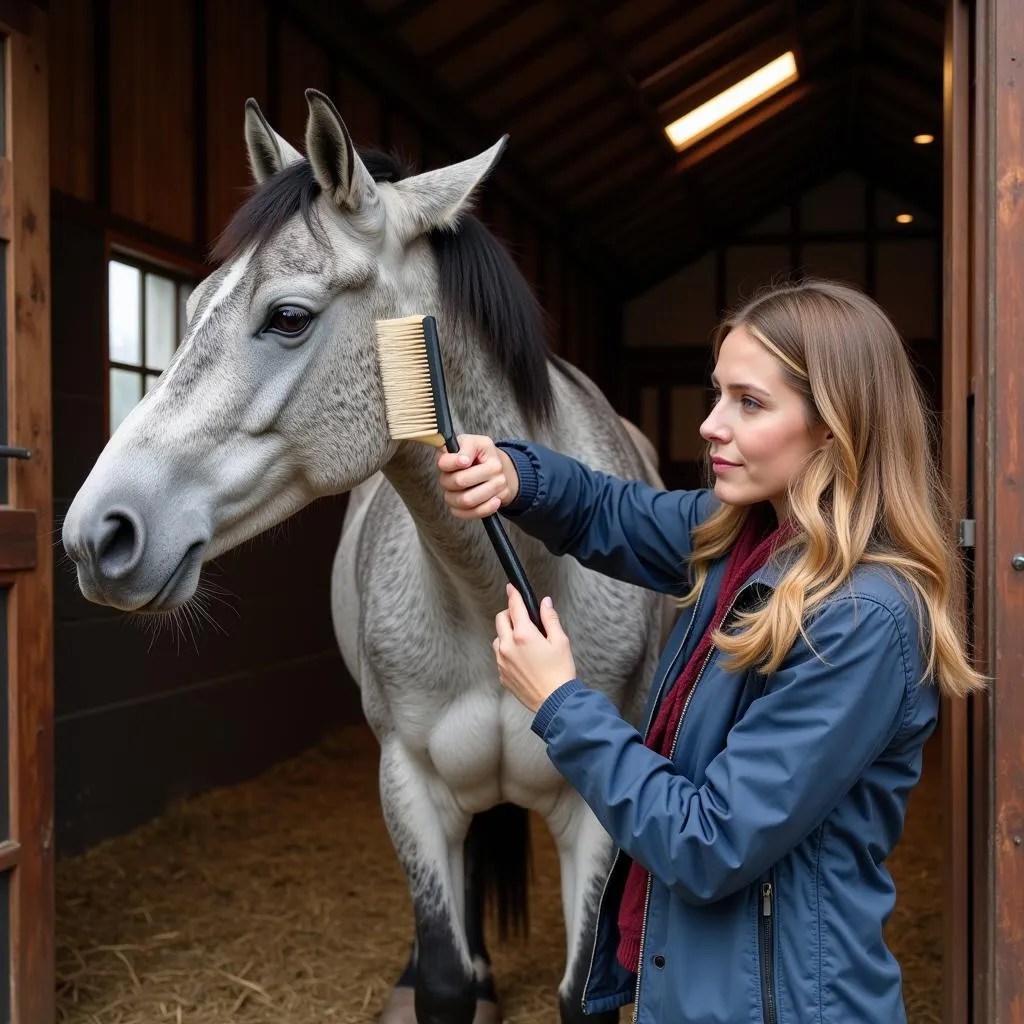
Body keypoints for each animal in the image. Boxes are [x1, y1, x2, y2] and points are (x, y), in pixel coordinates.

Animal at [64, 90, 671, 1024]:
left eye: (287, 316)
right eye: (192, 307)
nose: (99, 534)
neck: (496, 584)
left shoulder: (598, 806)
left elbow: (581, 994)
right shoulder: (410, 787)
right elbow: (445, 978)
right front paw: (458, 983)